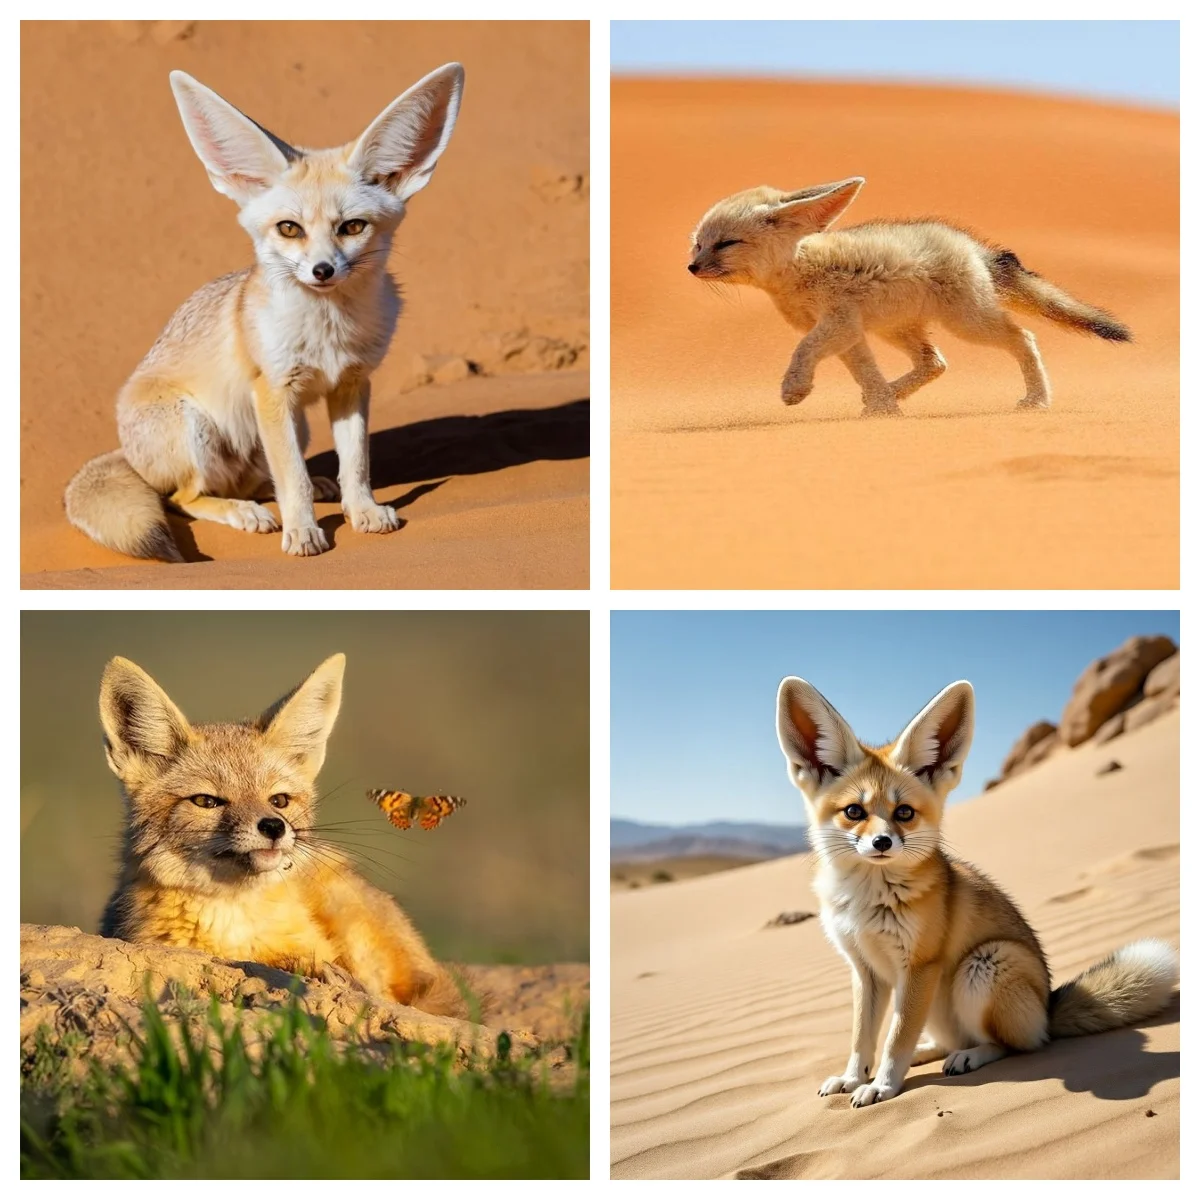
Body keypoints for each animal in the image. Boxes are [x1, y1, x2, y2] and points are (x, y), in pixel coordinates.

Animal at [65, 64, 465, 561]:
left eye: (352, 227)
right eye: (289, 229)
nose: (322, 270)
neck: (328, 332)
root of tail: (127, 455)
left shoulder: (351, 385)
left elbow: (354, 464)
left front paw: (363, 512)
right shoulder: (273, 391)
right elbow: (292, 479)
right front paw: (304, 532)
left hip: (290, 429)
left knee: (256, 480)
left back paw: (290, 492)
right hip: (197, 428)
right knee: (183, 497)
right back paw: (244, 513)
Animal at [689, 177, 1131, 416]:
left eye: (726, 244)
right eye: (698, 244)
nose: (691, 268)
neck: (799, 269)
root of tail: (973, 246)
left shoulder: (837, 323)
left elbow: (803, 350)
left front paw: (795, 388)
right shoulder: (850, 332)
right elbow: (865, 372)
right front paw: (883, 408)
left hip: (968, 324)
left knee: (1023, 337)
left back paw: (1037, 399)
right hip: (897, 329)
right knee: (935, 362)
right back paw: (892, 393)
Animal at [775, 675, 1178, 1108]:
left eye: (904, 813)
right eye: (854, 812)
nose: (882, 843)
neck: (867, 903)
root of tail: (1048, 1008)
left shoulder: (919, 965)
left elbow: (896, 1040)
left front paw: (882, 1086)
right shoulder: (865, 970)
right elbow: (862, 1040)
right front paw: (853, 1078)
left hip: (985, 964)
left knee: (1017, 1044)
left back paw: (971, 1055)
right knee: (950, 1039)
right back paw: (932, 1051)